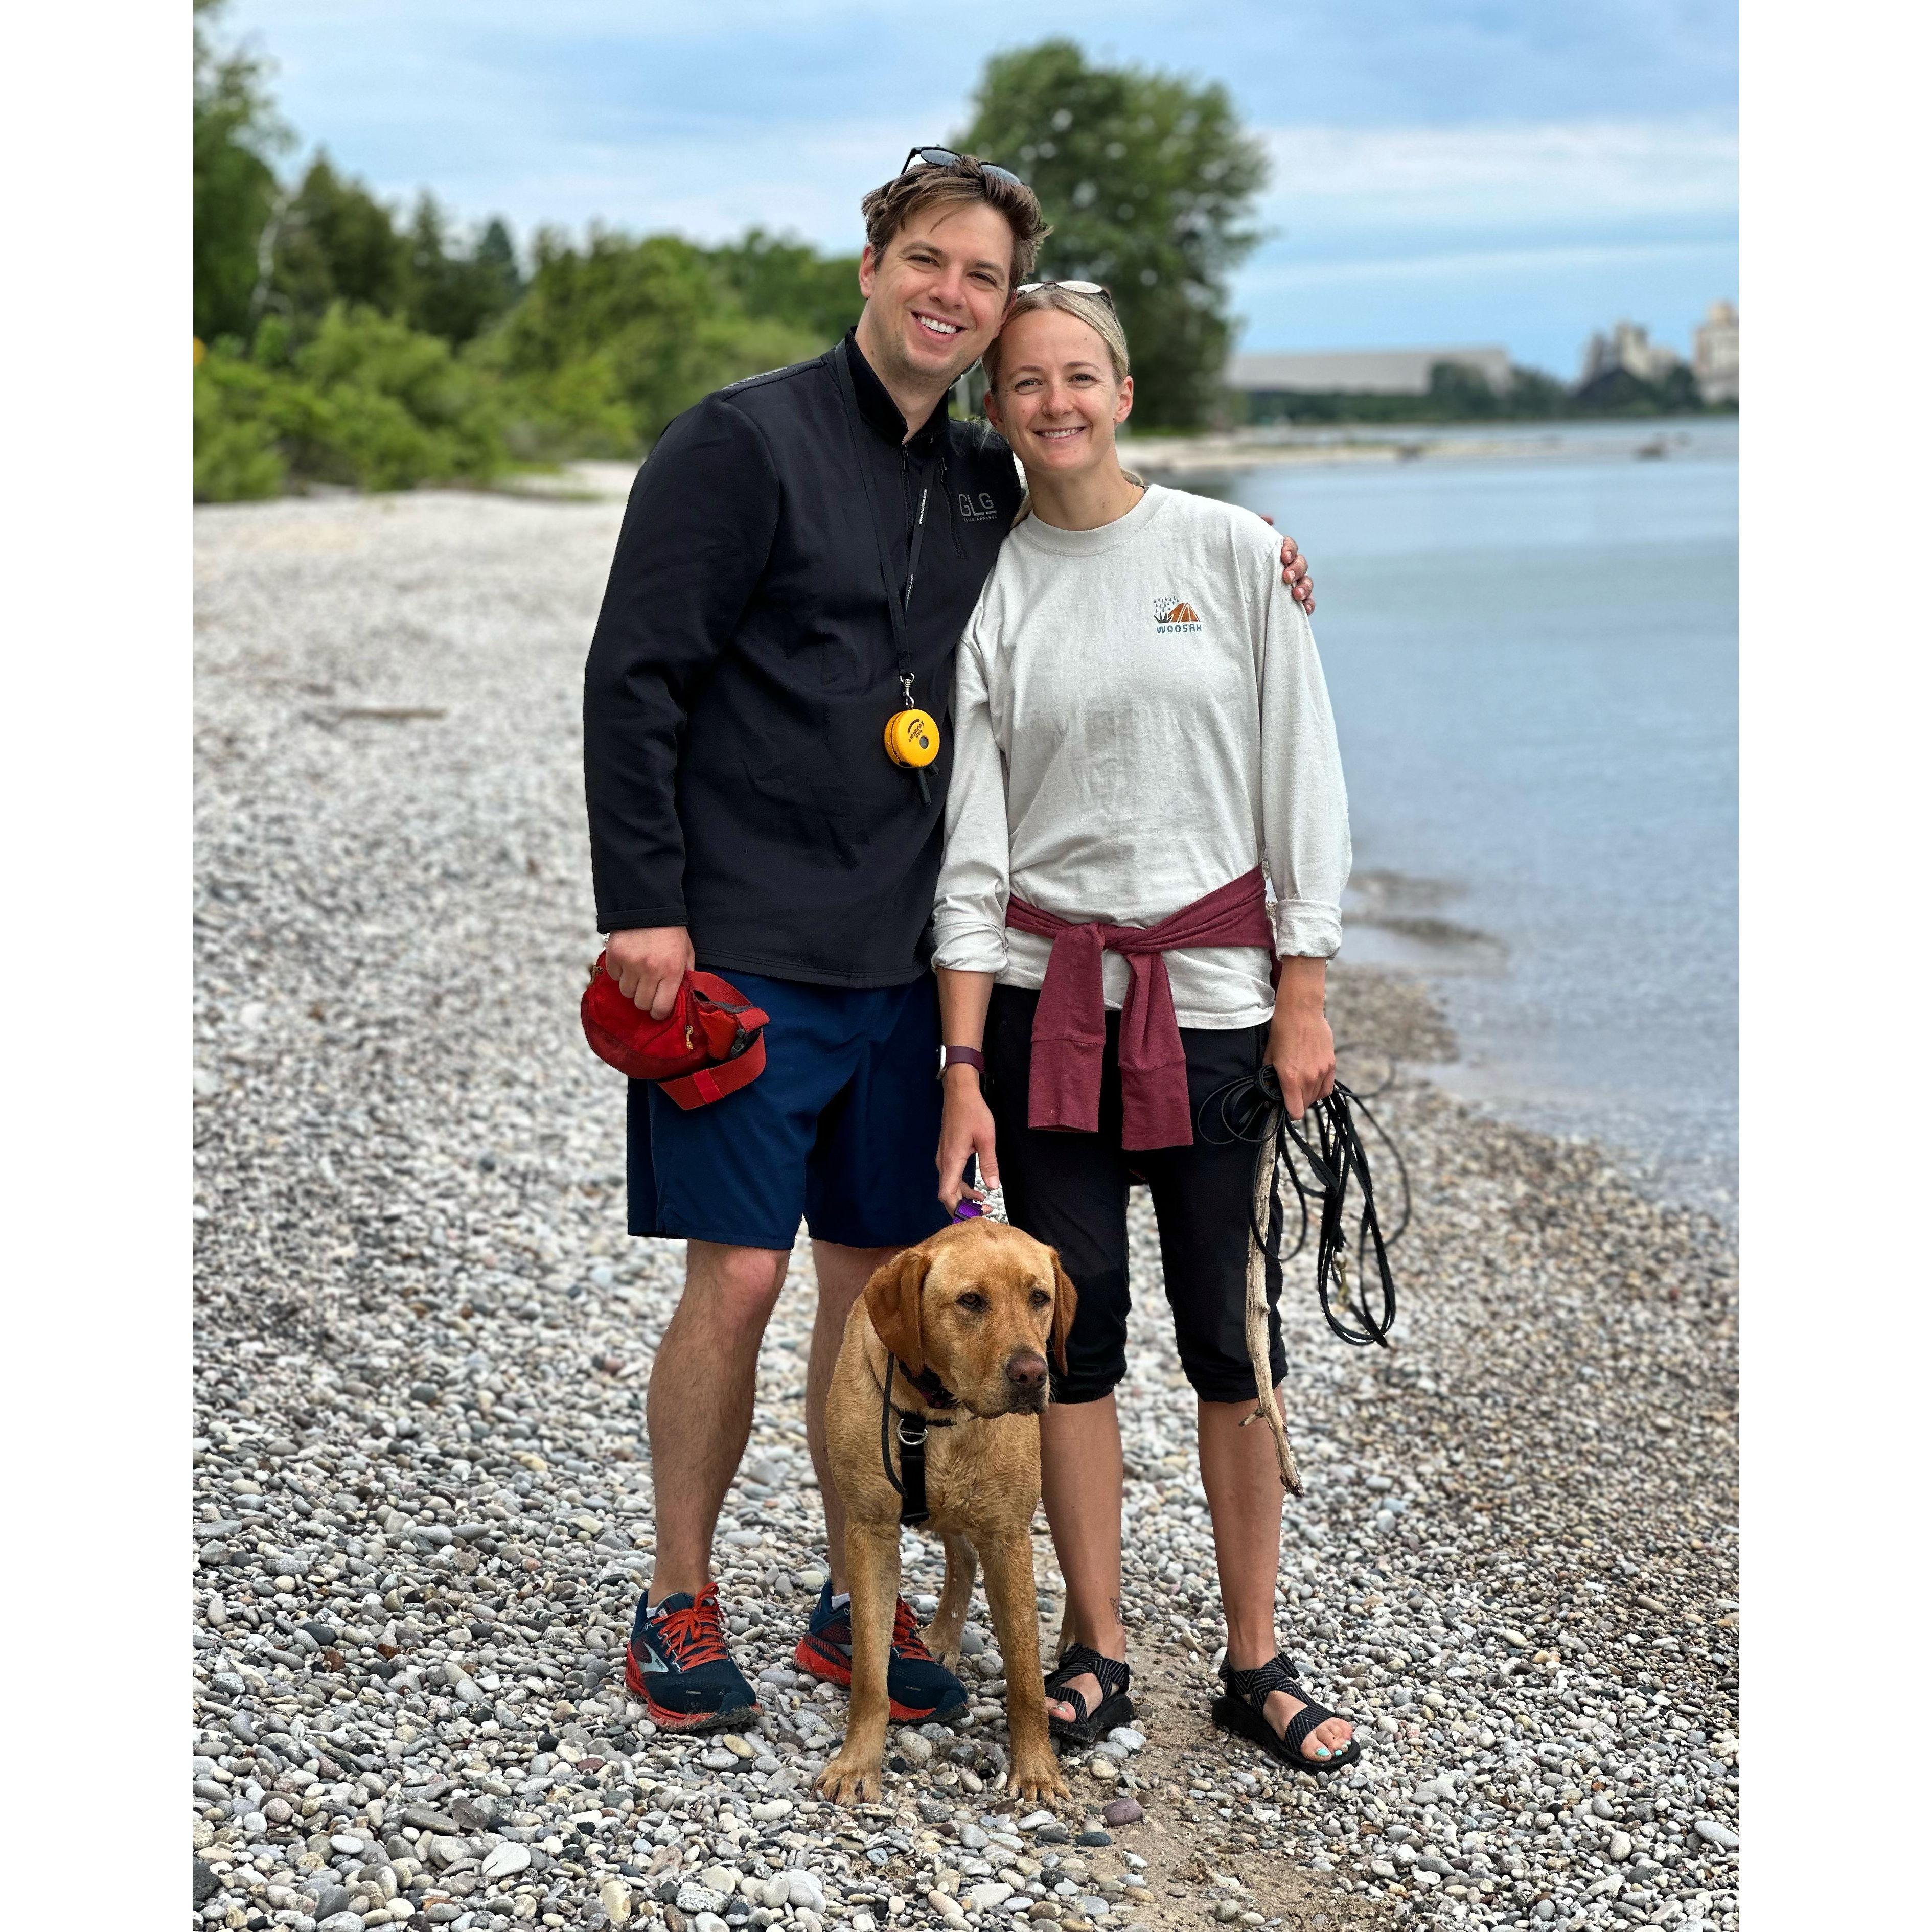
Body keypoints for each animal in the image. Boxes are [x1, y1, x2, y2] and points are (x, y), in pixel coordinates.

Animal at [815, 1221, 1082, 1808]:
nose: (1032, 1374)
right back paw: (941, 1637)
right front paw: (857, 1763)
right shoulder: (869, 1531)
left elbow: (1025, 1678)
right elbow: (870, 1676)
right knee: (961, 1559)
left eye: (1039, 1298)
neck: (939, 1409)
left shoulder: (1009, 1539)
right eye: (971, 1301)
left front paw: (1036, 1770)